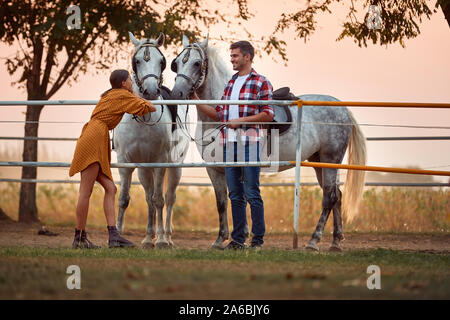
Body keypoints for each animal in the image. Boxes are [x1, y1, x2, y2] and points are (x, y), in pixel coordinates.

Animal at [114, 31, 190, 248]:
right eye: (137, 60)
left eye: (162, 61)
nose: (151, 91)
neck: (143, 118)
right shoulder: (125, 163)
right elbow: (124, 198)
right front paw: (118, 234)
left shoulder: (160, 162)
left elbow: (159, 200)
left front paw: (162, 240)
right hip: (144, 169)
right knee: (149, 197)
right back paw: (148, 238)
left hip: (174, 167)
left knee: (169, 198)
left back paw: (167, 237)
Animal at [171, 34, 368, 250]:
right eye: (177, 62)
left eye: (197, 63)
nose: (177, 94)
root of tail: (343, 109)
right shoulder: (214, 169)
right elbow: (222, 202)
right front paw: (220, 239)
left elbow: (244, 198)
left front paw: (242, 237)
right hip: (319, 163)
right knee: (336, 196)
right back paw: (335, 241)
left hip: (330, 159)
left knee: (329, 198)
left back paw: (313, 241)